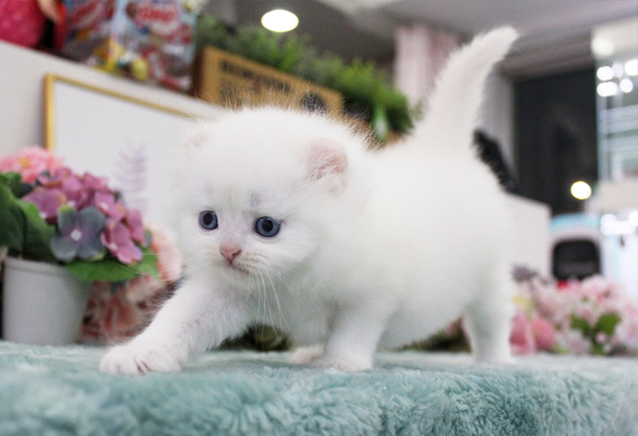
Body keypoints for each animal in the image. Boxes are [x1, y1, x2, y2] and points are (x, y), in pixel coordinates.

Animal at [100, 26, 519, 375]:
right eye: (208, 221)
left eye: (267, 226)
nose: (227, 252)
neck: (296, 275)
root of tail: (441, 150)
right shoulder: (221, 292)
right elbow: (178, 319)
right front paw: (139, 354)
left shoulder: (374, 295)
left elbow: (354, 329)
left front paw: (341, 363)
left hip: (490, 279)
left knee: (492, 320)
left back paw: (496, 360)